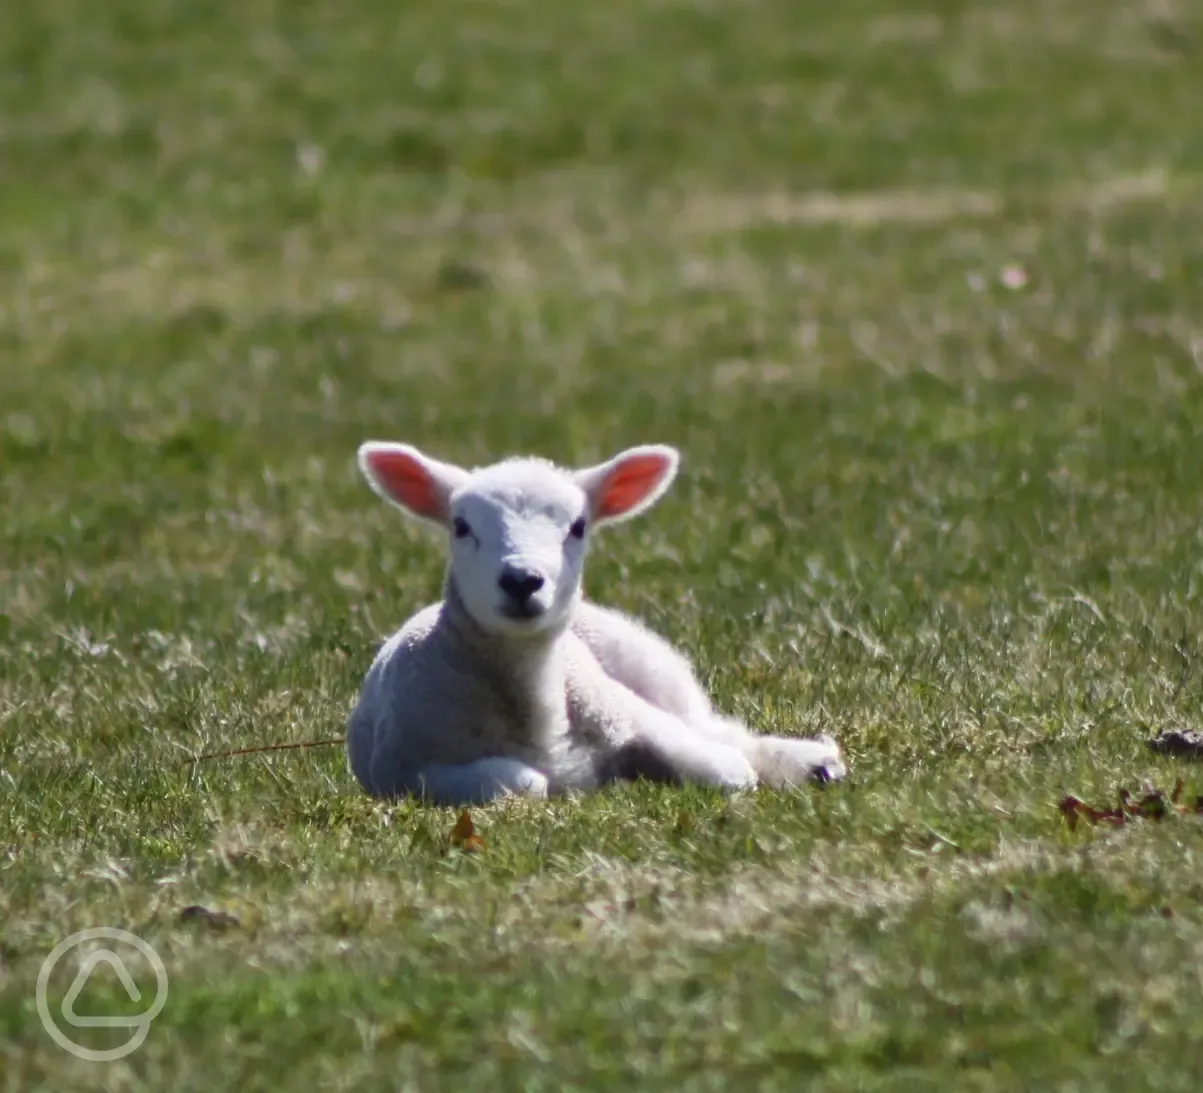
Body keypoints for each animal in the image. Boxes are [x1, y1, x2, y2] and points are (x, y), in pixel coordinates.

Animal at [344, 440, 851, 808]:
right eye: (461, 526)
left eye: (578, 527)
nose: (522, 580)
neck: (536, 709)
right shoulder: (409, 771)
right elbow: (525, 782)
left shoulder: (633, 716)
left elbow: (731, 772)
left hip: (649, 666)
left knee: (716, 729)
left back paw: (813, 762)